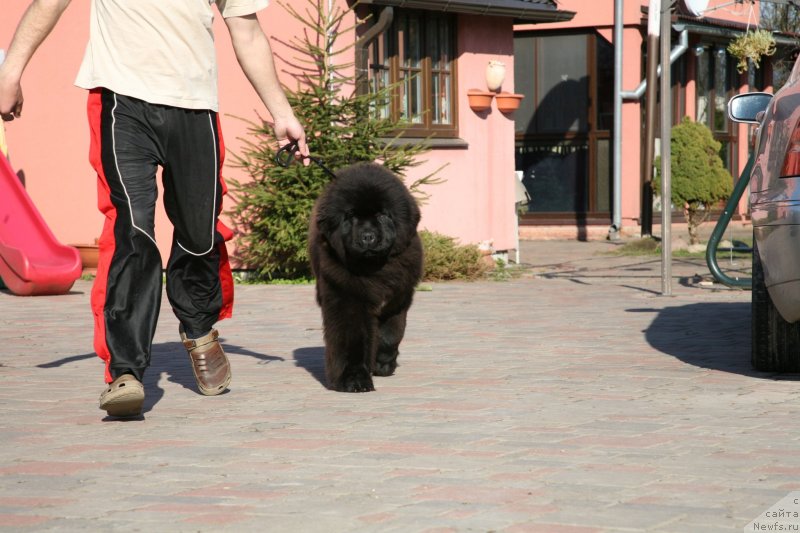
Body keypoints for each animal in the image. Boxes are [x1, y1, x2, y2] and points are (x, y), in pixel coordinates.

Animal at [310, 162, 424, 390]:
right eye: (351, 216)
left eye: (382, 215)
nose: (368, 237)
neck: (375, 269)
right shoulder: (347, 297)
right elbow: (351, 338)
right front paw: (354, 379)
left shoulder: (398, 299)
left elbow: (390, 335)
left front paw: (383, 364)